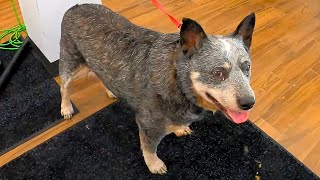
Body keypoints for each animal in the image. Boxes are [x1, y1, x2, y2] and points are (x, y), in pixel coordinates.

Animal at [58, 3, 256, 174]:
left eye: (247, 66)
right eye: (218, 72)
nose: (249, 103)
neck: (178, 82)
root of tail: (75, 7)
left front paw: (179, 128)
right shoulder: (148, 124)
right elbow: (149, 147)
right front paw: (154, 164)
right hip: (70, 61)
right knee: (64, 87)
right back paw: (66, 107)